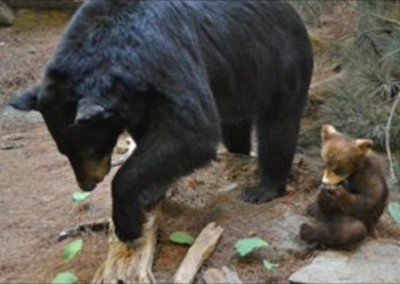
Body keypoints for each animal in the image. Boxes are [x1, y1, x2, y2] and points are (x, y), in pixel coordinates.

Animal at [10, 1, 312, 243]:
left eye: (87, 148)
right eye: (64, 151)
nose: (87, 184)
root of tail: (293, 13)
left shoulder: (166, 58)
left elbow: (194, 130)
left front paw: (127, 225)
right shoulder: (140, 100)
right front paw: (152, 193)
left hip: (279, 64)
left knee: (278, 127)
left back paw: (263, 189)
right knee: (235, 128)